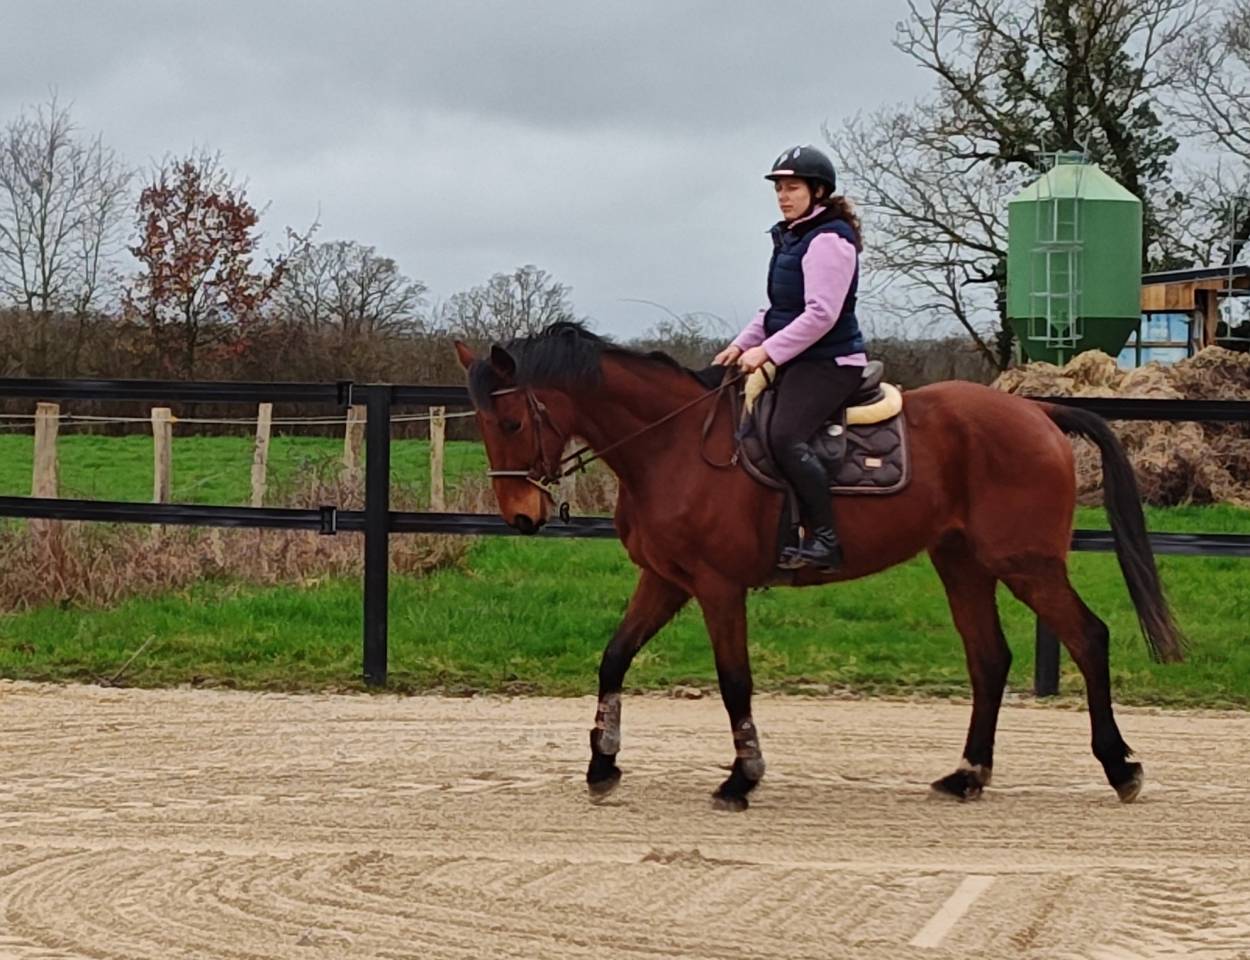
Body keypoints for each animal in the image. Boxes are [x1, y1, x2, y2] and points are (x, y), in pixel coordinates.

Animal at [454, 322, 1184, 811]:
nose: (520, 515)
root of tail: (1038, 411)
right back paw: (968, 774)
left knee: (1087, 638)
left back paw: (1120, 767)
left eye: (512, 422)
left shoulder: (718, 588)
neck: (672, 446)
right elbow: (613, 658)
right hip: (963, 563)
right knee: (990, 658)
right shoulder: (663, 580)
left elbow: (735, 682)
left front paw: (741, 777)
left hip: (1026, 563)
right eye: (484, 426)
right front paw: (602, 766)